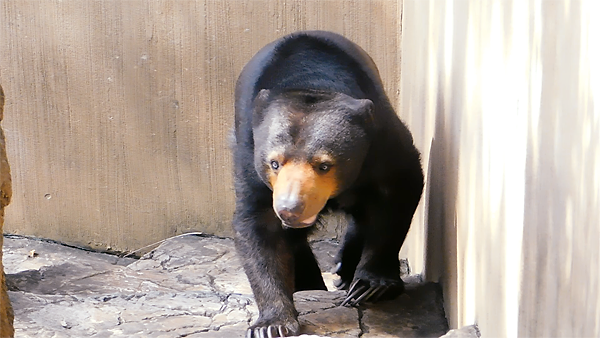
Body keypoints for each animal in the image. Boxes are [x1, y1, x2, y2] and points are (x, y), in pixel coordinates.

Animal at [232, 30, 424, 336]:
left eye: (324, 165)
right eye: (274, 163)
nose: (290, 209)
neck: (311, 82)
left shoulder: (380, 141)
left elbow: (398, 190)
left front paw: (371, 286)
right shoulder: (247, 152)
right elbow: (259, 225)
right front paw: (272, 323)